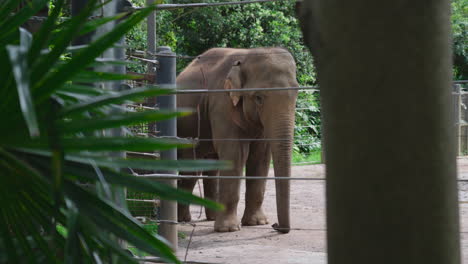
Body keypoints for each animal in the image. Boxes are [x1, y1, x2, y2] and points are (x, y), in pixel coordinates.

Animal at [177, 47, 298, 233]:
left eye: (297, 93)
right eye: (258, 98)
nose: (275, 225)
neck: (247, 54)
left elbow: (260, 156)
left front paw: (257, 223)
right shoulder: (221, 104)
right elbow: (234, 153)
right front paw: (228, 229)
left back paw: (210, 218)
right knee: (190, 170)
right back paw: (182, 220)